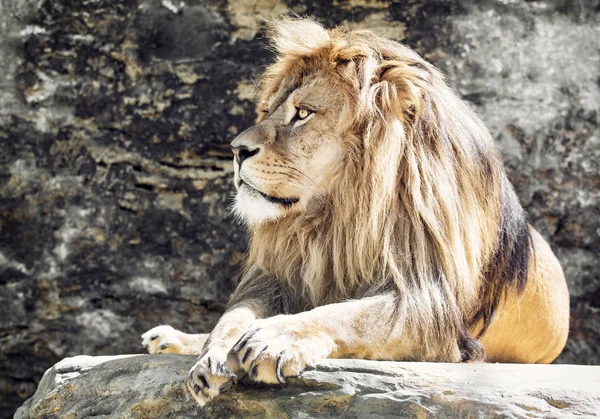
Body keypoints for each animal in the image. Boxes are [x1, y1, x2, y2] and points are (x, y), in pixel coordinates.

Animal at [141, 18, 568, 406]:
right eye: (267, 111)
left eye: (302, 114)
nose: (236, 150)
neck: (337, 213)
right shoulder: (279, 275)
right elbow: (235, 316)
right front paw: (212, 355)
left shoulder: (429, 303)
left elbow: (347, 315)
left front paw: (274, 339)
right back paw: (170, 339)